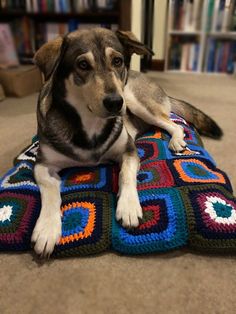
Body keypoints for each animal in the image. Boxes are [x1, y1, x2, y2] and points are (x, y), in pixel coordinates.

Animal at [30, 27, 221, 258]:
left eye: (117, 61)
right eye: (82, 64)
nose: (114, 102)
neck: (90, 123)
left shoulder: (128, 150)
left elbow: (125, 174)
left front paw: (128, 206)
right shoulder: (43, 164)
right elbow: (50, 190)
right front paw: (47, 228)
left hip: (136, 100)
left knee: (175, 124)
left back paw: (176, 141)